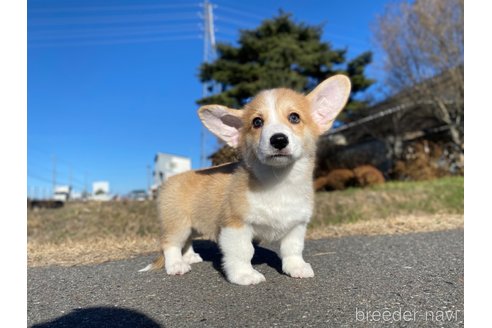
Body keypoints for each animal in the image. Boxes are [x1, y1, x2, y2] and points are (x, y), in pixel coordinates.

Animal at [140, 75, 352, 286]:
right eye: (257, 122)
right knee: (170, 243)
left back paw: (190, 257)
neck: (278, 181)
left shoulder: (296, 225)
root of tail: (169, 180)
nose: (278, 140)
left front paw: (297, 268)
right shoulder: (236, 224)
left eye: (294, 117)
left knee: (187, 242)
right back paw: (176, 265)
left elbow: (292, 249)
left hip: (193, 226)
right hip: (178, 223)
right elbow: (243, 252)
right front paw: (244, 275)